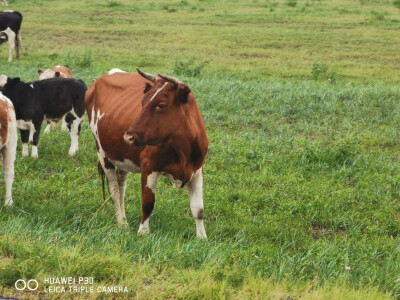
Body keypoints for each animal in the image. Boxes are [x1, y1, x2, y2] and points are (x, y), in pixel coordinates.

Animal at [85, 69, 209, 238]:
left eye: (161, 105)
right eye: (142, 102)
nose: (128, 136)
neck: (183, 149)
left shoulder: (197, 169)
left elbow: (198, 208)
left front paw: (202, 237)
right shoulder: (149, 165)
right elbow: (148, 202)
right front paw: (143, 232)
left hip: (123, 156)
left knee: (121, 186)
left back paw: (124, 220)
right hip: (103, 152)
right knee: (114, 191)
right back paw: (122, 224)